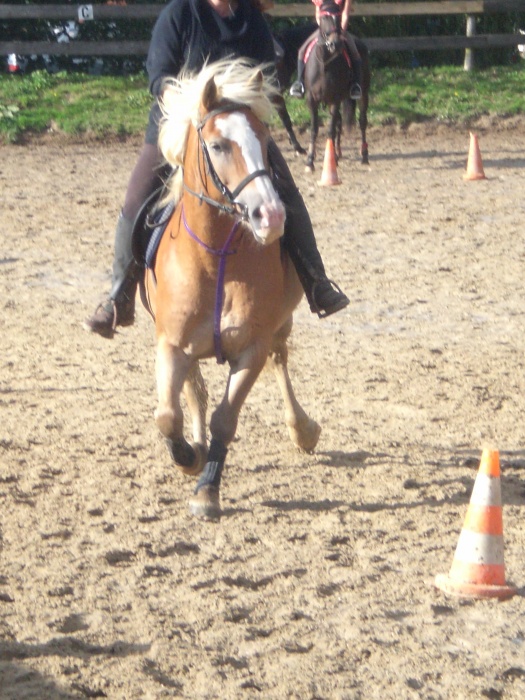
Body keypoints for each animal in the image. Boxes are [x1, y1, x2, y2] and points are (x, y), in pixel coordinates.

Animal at [143, 58, 320, 520]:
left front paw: (207, 490)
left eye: (265, 139)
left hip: (280, 325)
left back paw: (303, 429)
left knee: (280, 360)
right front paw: (190, 457)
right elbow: (168, 415)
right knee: (195, 393)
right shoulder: (171, 344)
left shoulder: (251, 349)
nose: (271, 216)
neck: (214, 258)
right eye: (219, 145)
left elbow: (226, 417)